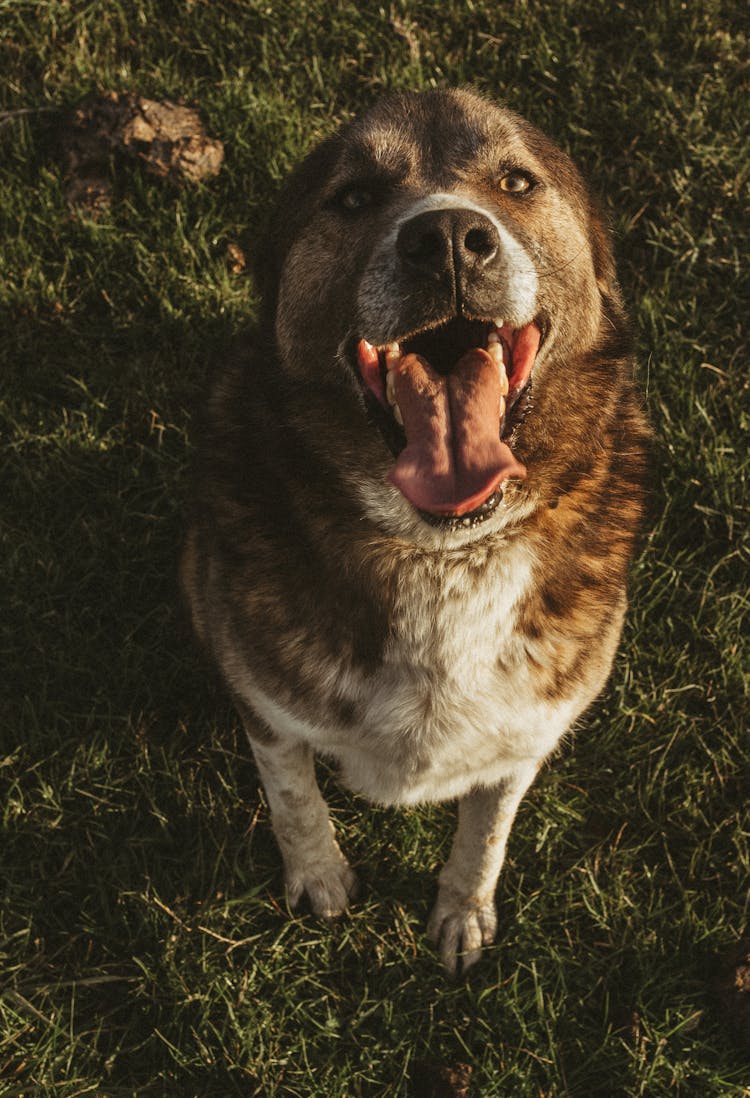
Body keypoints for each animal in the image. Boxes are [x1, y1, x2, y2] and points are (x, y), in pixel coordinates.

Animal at [178, 90, 650, 975]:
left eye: (516, 181)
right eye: (355, 196)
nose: (448, 239)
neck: (442, 550)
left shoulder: (527, 738)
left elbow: (487, 832)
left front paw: (463, 913)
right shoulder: (267, 709)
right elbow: (293, 797)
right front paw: (319, 876)